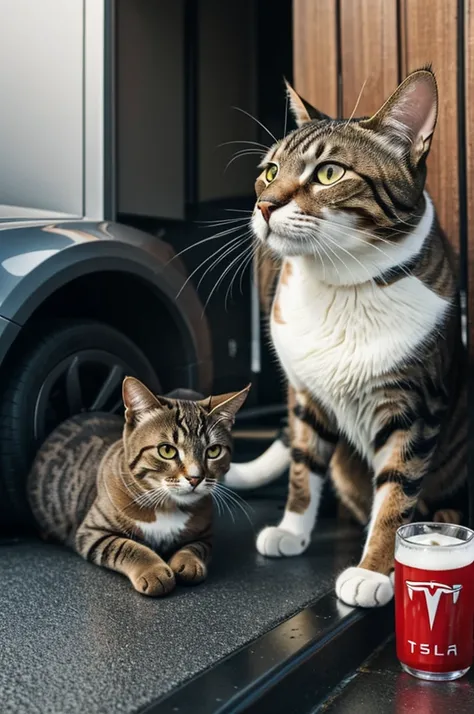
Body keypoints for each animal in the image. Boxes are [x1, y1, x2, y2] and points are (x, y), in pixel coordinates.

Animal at [26, 378, 248, 596]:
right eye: (167, 450)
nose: (196, 478)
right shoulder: (91, 531)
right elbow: (128, 547)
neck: (167, 506)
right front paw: (154, 570)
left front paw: (189, 562)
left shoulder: (206, 534)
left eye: (214, 451)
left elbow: (196, 547)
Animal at [225, 67, 466, 604]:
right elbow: (302, 467)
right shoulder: (304, 393)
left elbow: (396, 494)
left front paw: (375, 571)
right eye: (270, 170)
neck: (341, 286)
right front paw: (292, 530)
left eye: (329, 173)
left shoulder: (413, 406)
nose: (264, 205)